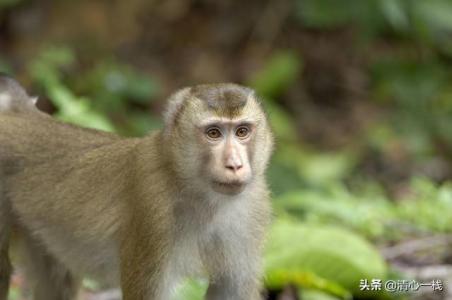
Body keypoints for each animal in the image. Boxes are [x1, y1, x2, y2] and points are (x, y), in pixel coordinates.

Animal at [0, 75, 274, 300]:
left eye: (242, 131)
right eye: (214, 133)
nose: (235, 165)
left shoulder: (254, 207)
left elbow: (230, 290)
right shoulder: (153, 212)